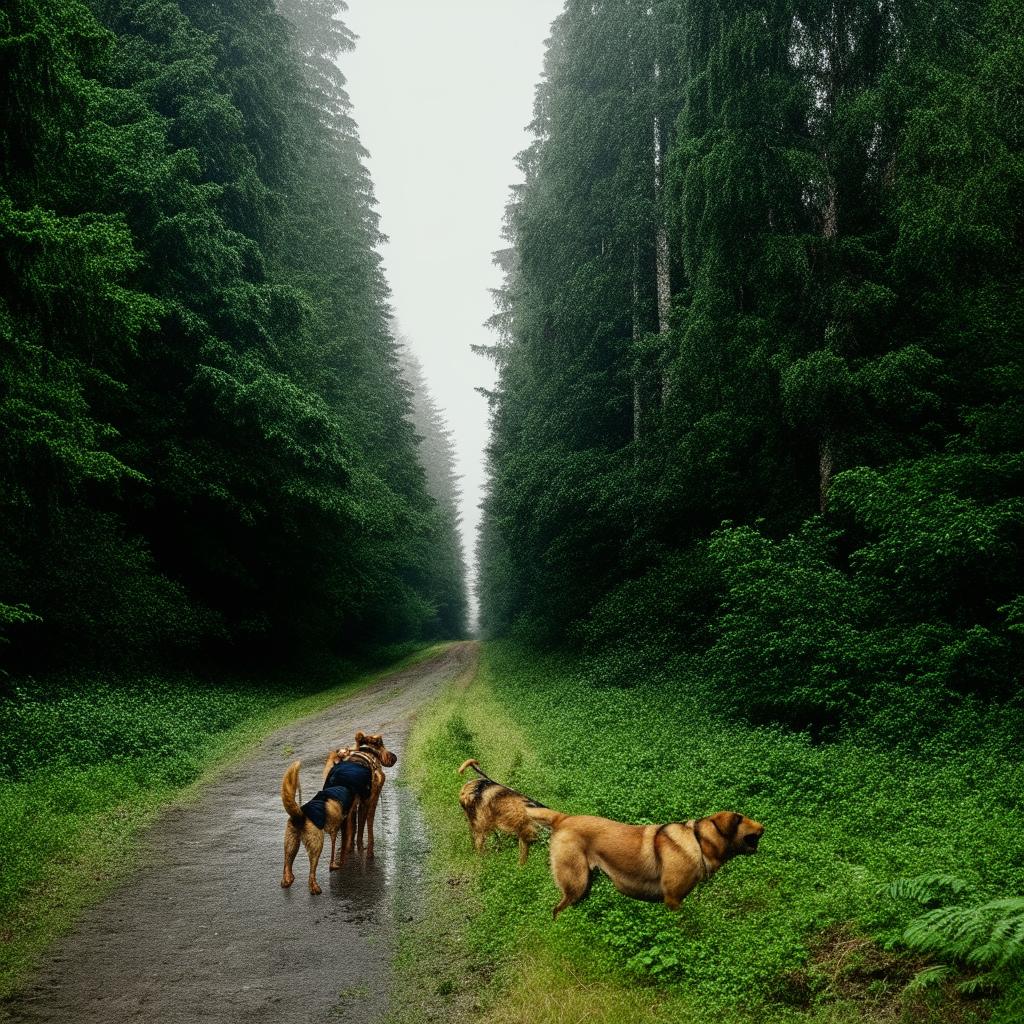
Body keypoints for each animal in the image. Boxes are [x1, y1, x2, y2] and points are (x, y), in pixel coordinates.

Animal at [528, 806, 761, 921]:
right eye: (742, 819)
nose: (764, 827)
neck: (698, 841)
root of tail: (563, 818)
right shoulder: (673, 900)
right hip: (576, 882)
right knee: (557, 910)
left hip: (585, 887)